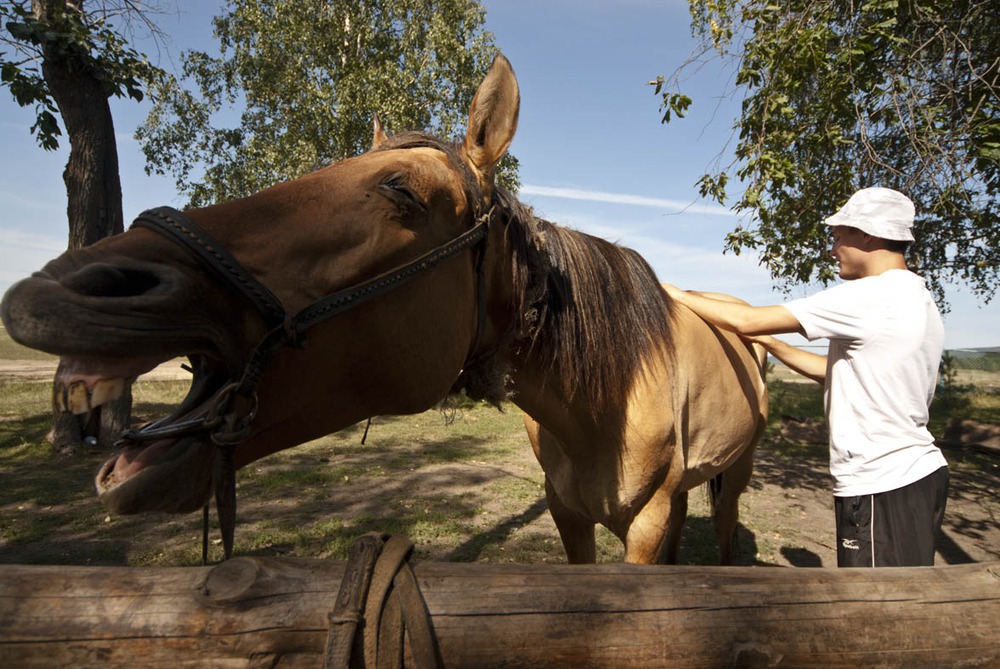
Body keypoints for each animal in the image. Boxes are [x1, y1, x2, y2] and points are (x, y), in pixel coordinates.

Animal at [1, 54, 764, 564]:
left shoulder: (644, 525)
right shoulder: (568, 516)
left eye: (402, 190)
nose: (67, 289)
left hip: (735, 475)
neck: (603, 404)